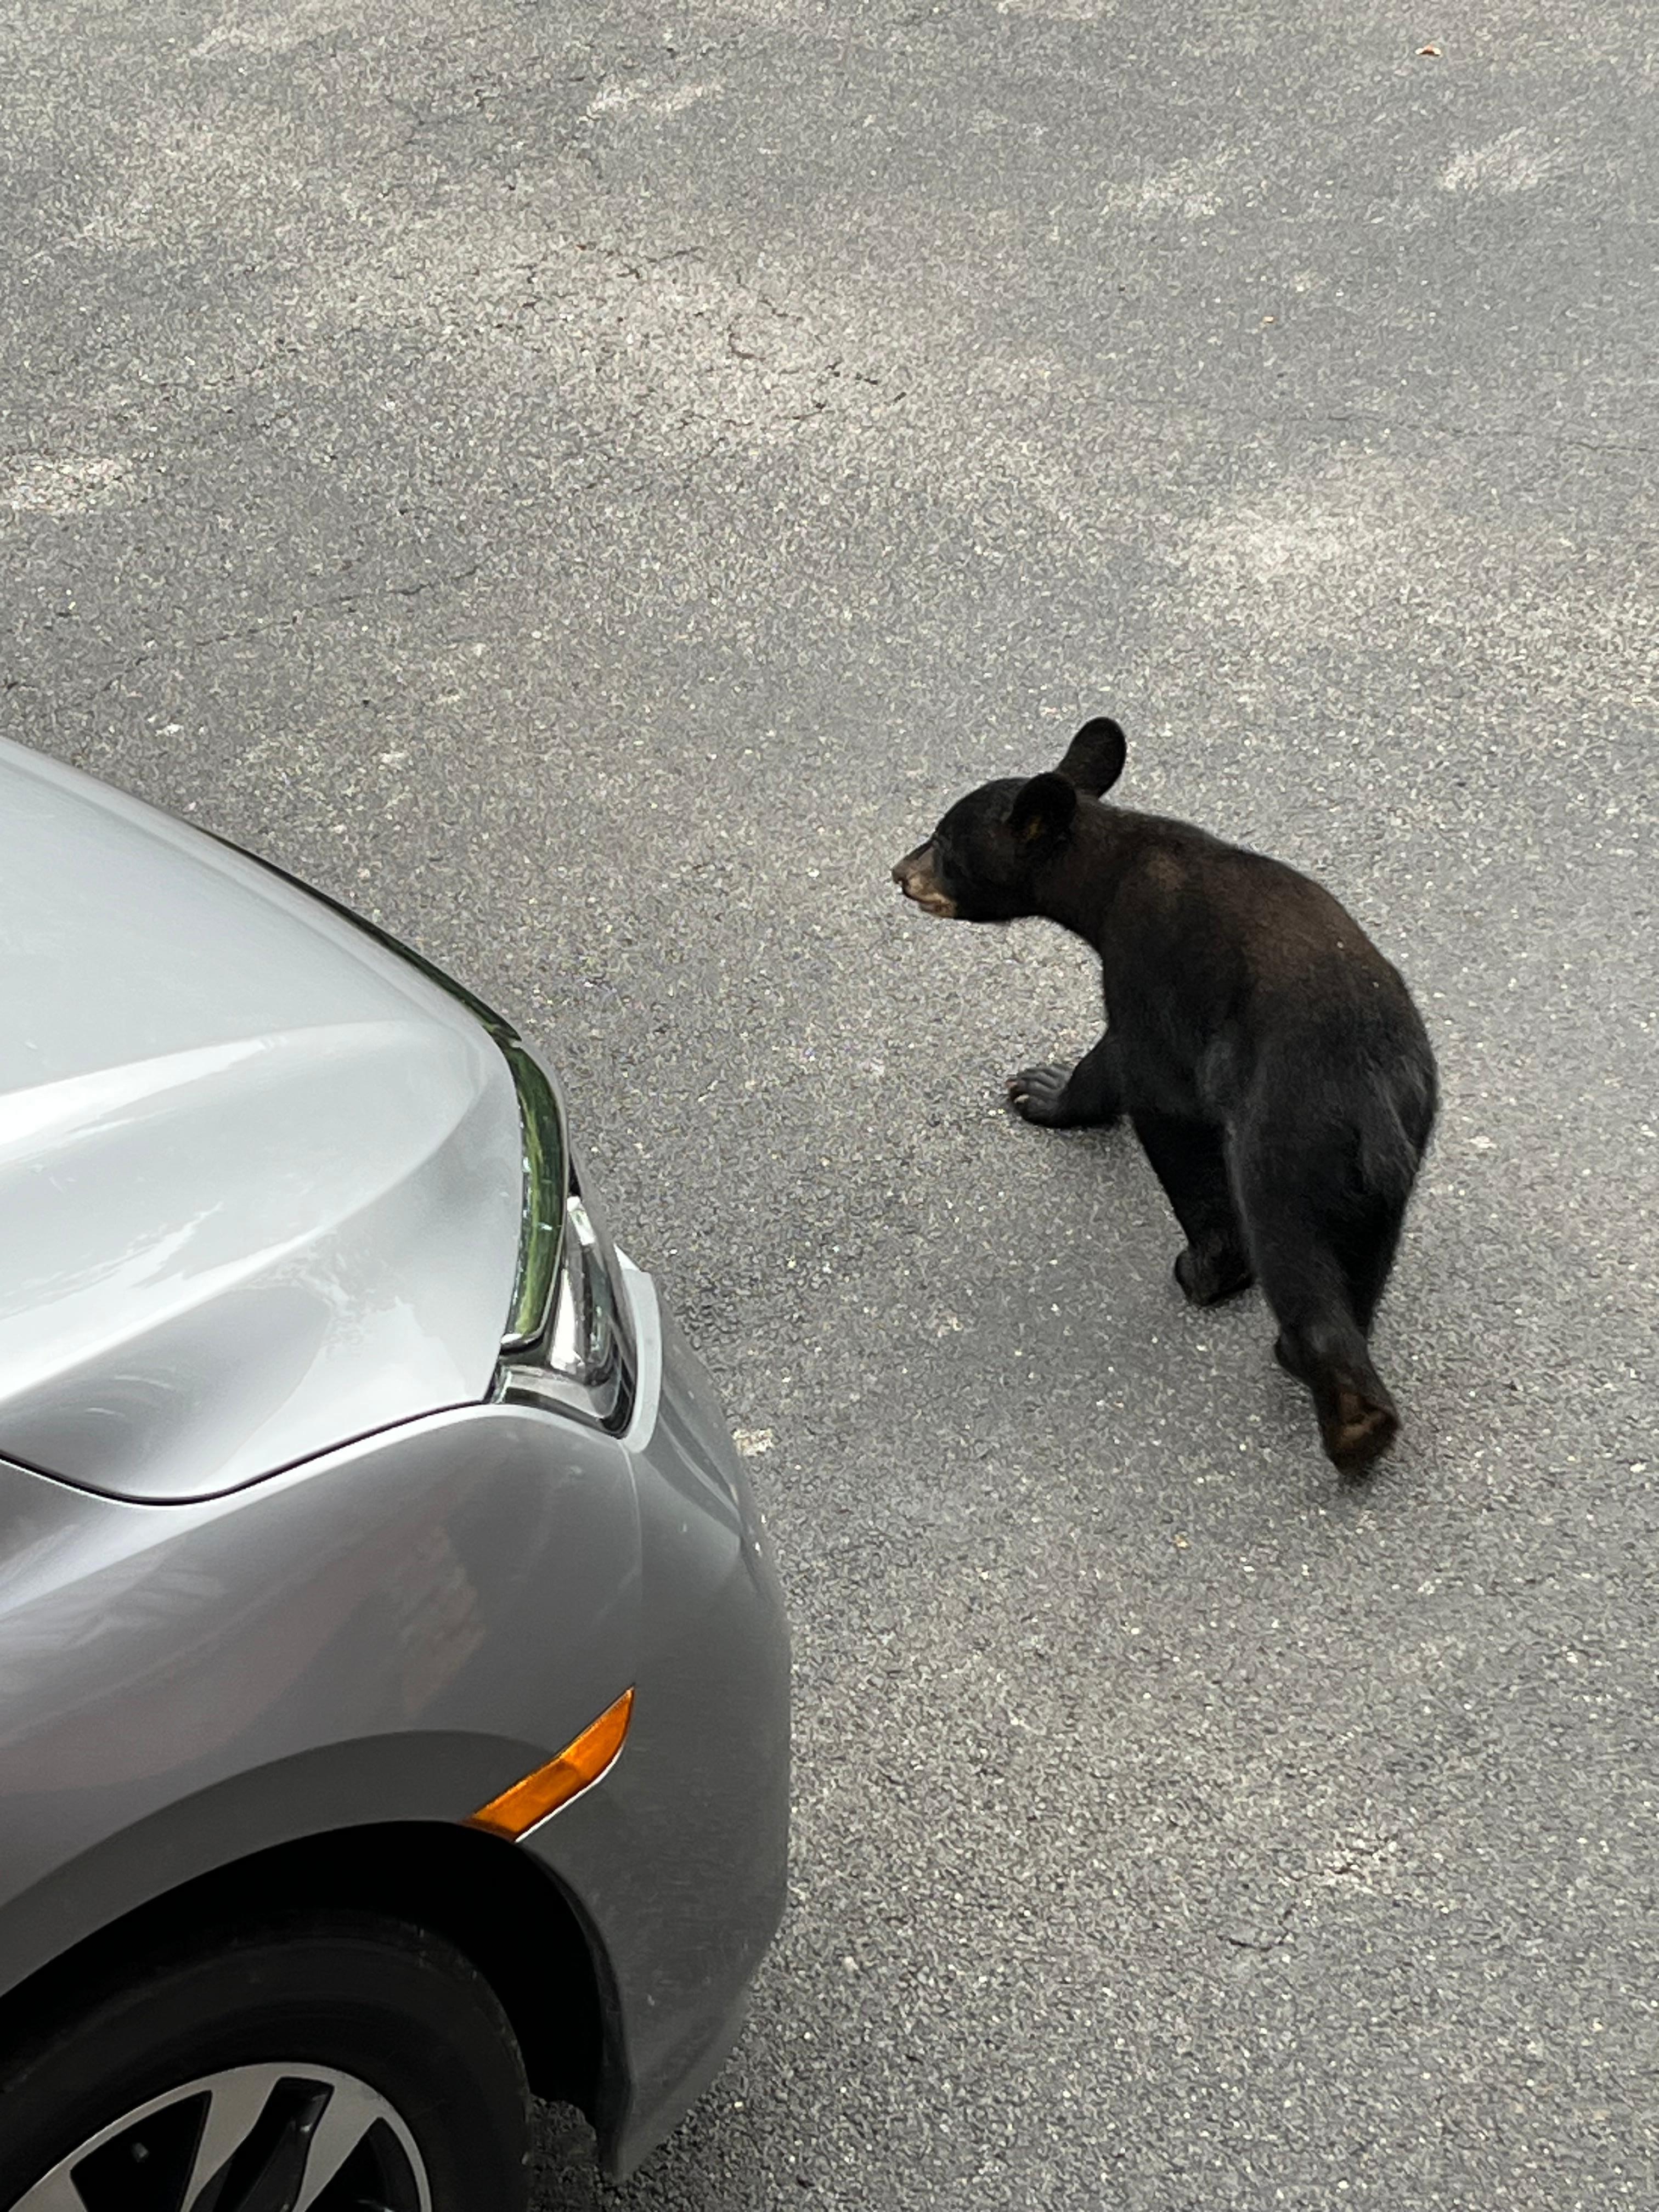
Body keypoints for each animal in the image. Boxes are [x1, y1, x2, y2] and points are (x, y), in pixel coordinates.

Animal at [891, 716, 1438, 1474]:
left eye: (944, 843)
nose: (899, 873)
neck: (1110, 873)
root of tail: (1373, 1094)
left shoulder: (1150, 969)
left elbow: (1155, 1090)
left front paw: (1045, 1092)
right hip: (1397, 1156)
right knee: (1363, 1261)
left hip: (1291, 1134)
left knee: (1293, 1248)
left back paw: (1347, 1414)